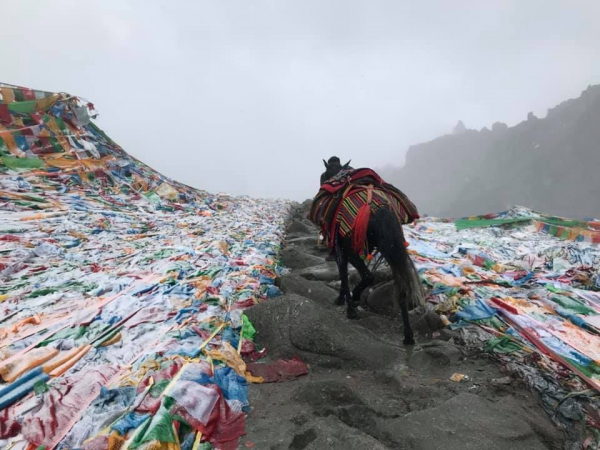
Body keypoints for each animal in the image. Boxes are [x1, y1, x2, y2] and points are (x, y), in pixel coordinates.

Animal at [316, 158, 420, 344]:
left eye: (323, 175)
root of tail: (379, 209)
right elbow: (344, 274)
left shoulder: (340, 249)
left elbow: (344, 275)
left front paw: (344, 302)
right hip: (393, 249)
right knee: (400, 286)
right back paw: (408, 336)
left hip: (353, 248)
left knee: (368, 276)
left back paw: (355, 302)